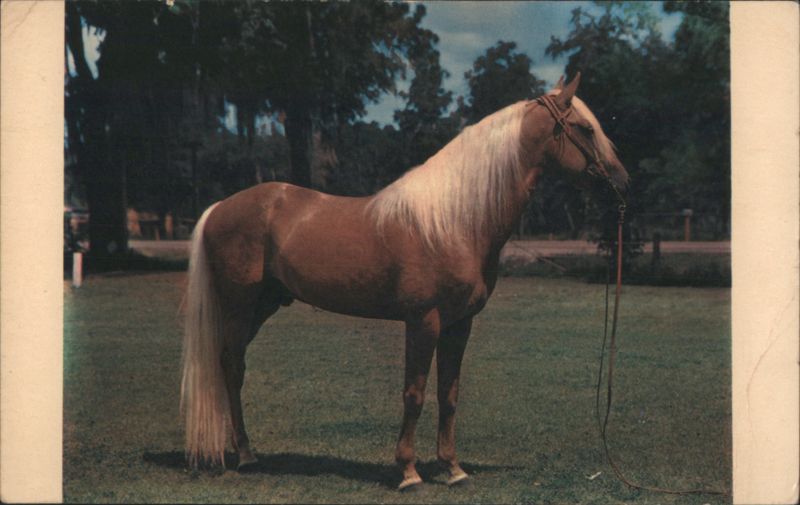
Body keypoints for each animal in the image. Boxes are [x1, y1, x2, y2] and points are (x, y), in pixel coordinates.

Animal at [180, 73, 628, 490]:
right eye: (586, 129)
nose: (622, 185)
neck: (455, 221)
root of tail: (220, 207)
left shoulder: (459, 324)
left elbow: (448, 394)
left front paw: (452, 468)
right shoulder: (423, 320)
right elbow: (414, 394)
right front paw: (409, 472)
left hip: (264, 305)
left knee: (230, 365)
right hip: (239, 307)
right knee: (232, 367)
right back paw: (246, 455)